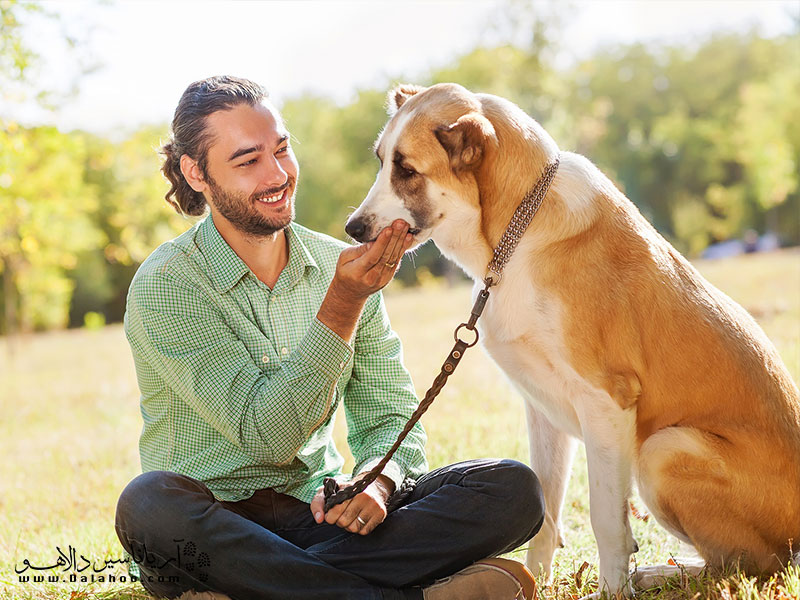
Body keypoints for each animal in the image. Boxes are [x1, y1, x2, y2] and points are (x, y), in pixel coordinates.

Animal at [344, 83, 800, 596]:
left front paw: (613, 591)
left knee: (748, 563)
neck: (516, 234)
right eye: (381, 160)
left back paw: (661, 573)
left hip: (663, 449)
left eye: (407, 170)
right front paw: (538, 582)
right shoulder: (544, 410)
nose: (352, 229)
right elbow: (546, 511)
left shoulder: (606, 402)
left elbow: (607, 520)